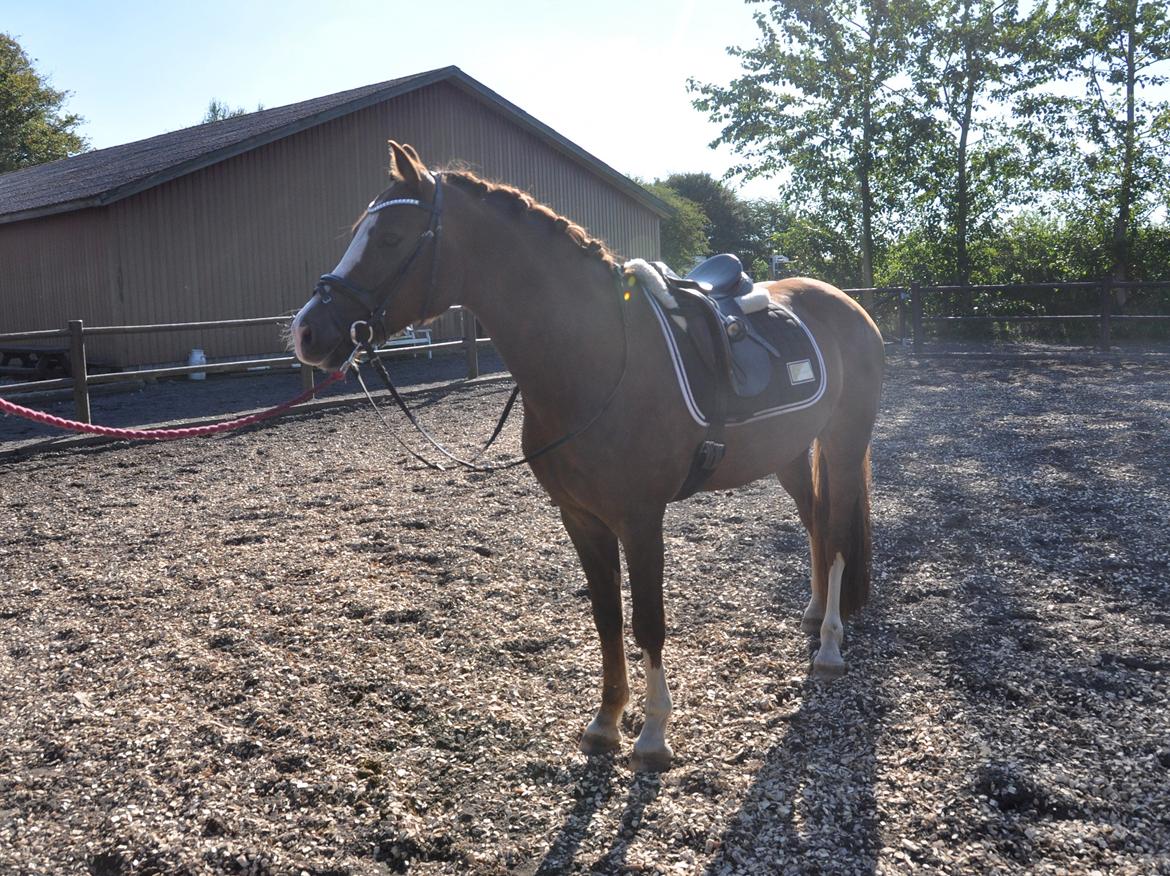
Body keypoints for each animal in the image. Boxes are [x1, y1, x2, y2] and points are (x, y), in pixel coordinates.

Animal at [290, 142, 879, 767]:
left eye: (392, 238)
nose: (306, 332)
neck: (594, 359)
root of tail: (845, 304)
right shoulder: (579, 516)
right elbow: (606, 617)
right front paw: (606, 721)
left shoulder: (640, 518)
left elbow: (647, 621)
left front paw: (653, 733)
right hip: (790, 452)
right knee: (816, 523)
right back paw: (815, 616)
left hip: (844, 445)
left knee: (836, 532)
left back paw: (830, 647)